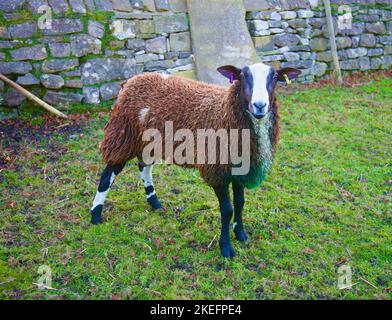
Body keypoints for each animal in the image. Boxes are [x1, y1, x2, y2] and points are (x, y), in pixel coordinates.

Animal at [90, 62, 302, 258]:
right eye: (242, 76)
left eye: (275, 77)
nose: (259, 105)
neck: (224, 112)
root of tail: (132, 80)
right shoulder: (216, 170)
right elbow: (227, 210)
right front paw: (226, 247)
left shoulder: (240, 169)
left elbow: (240, 202)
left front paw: (240, 234)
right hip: (123, 133)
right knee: (108, 174)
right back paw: (95, 215)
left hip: (148, 140)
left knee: (144, 166)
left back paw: (155, 203)